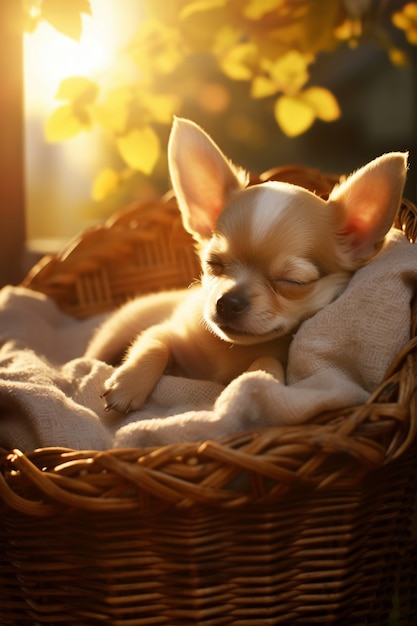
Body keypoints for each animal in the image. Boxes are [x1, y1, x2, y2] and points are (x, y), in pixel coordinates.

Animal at [84, 116, 406, 414]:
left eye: (293, 281)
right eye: (213, 263)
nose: (228, 302)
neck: (229, 351)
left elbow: (267, 360)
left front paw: (250, 382)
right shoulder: (166, 331)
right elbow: (153, 342)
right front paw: (127, 384)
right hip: (116, 330)